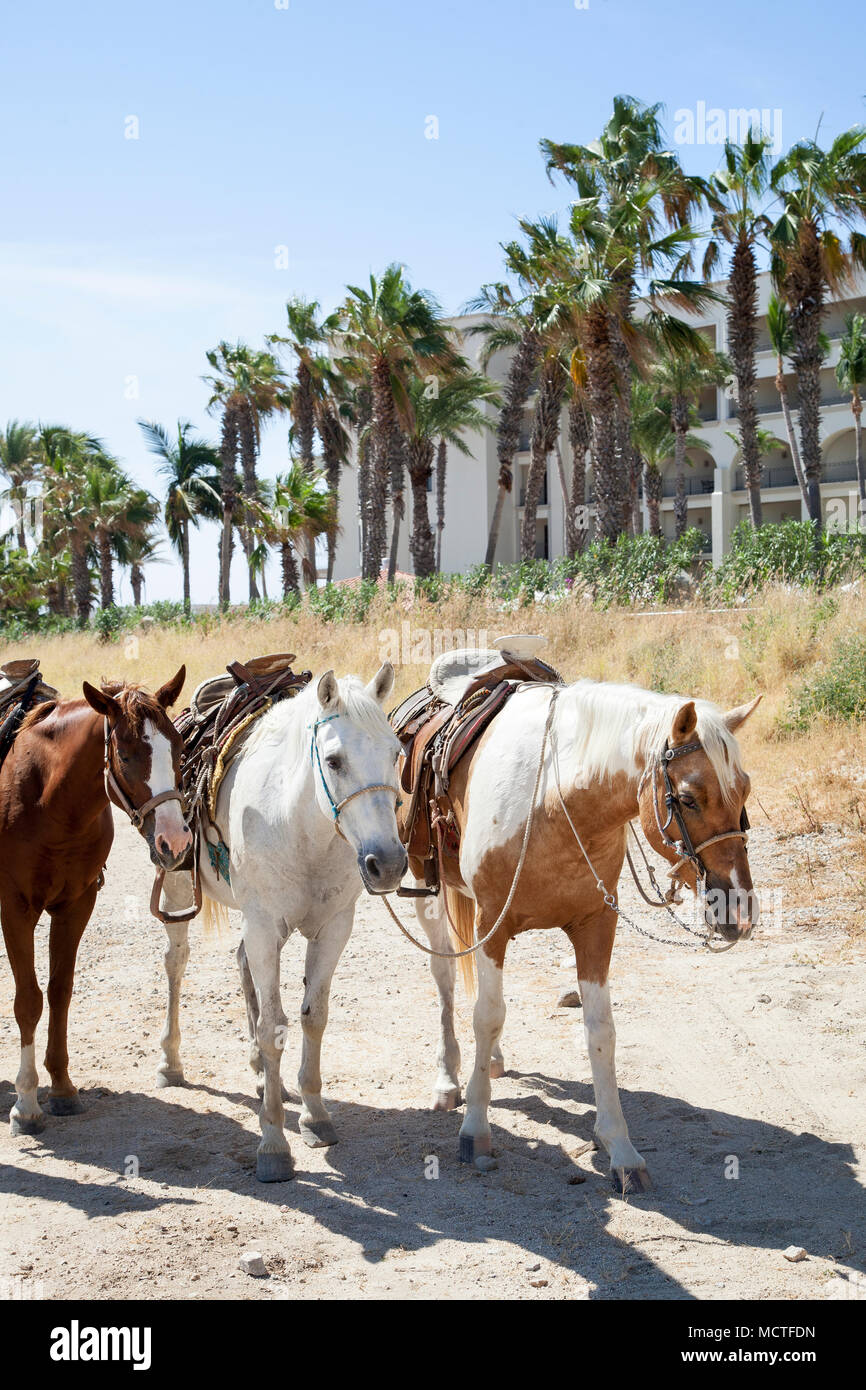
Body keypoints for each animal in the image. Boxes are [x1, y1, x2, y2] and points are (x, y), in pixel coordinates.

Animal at [0, 667, 189, 1134]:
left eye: (178, 746)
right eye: (125, 755)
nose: (174, 841)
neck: (47, 800)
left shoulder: (77, 905)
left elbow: (60, 991)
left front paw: (62, 1088)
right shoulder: (16, 908)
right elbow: (27, 1000)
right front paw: (25, 1103)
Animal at [157, 664, 408, 1184]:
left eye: (396, 754)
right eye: (334, 761)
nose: (389, 864)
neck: (301, 826)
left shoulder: (334, 928)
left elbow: (314, 1017)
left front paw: (314, 1114)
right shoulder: (264, 927)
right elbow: (274, 1025)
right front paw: (273, 1143)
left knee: (240, 964)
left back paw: (256, 1070)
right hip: (178, 883)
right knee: (176, 963)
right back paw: (170, 1062)